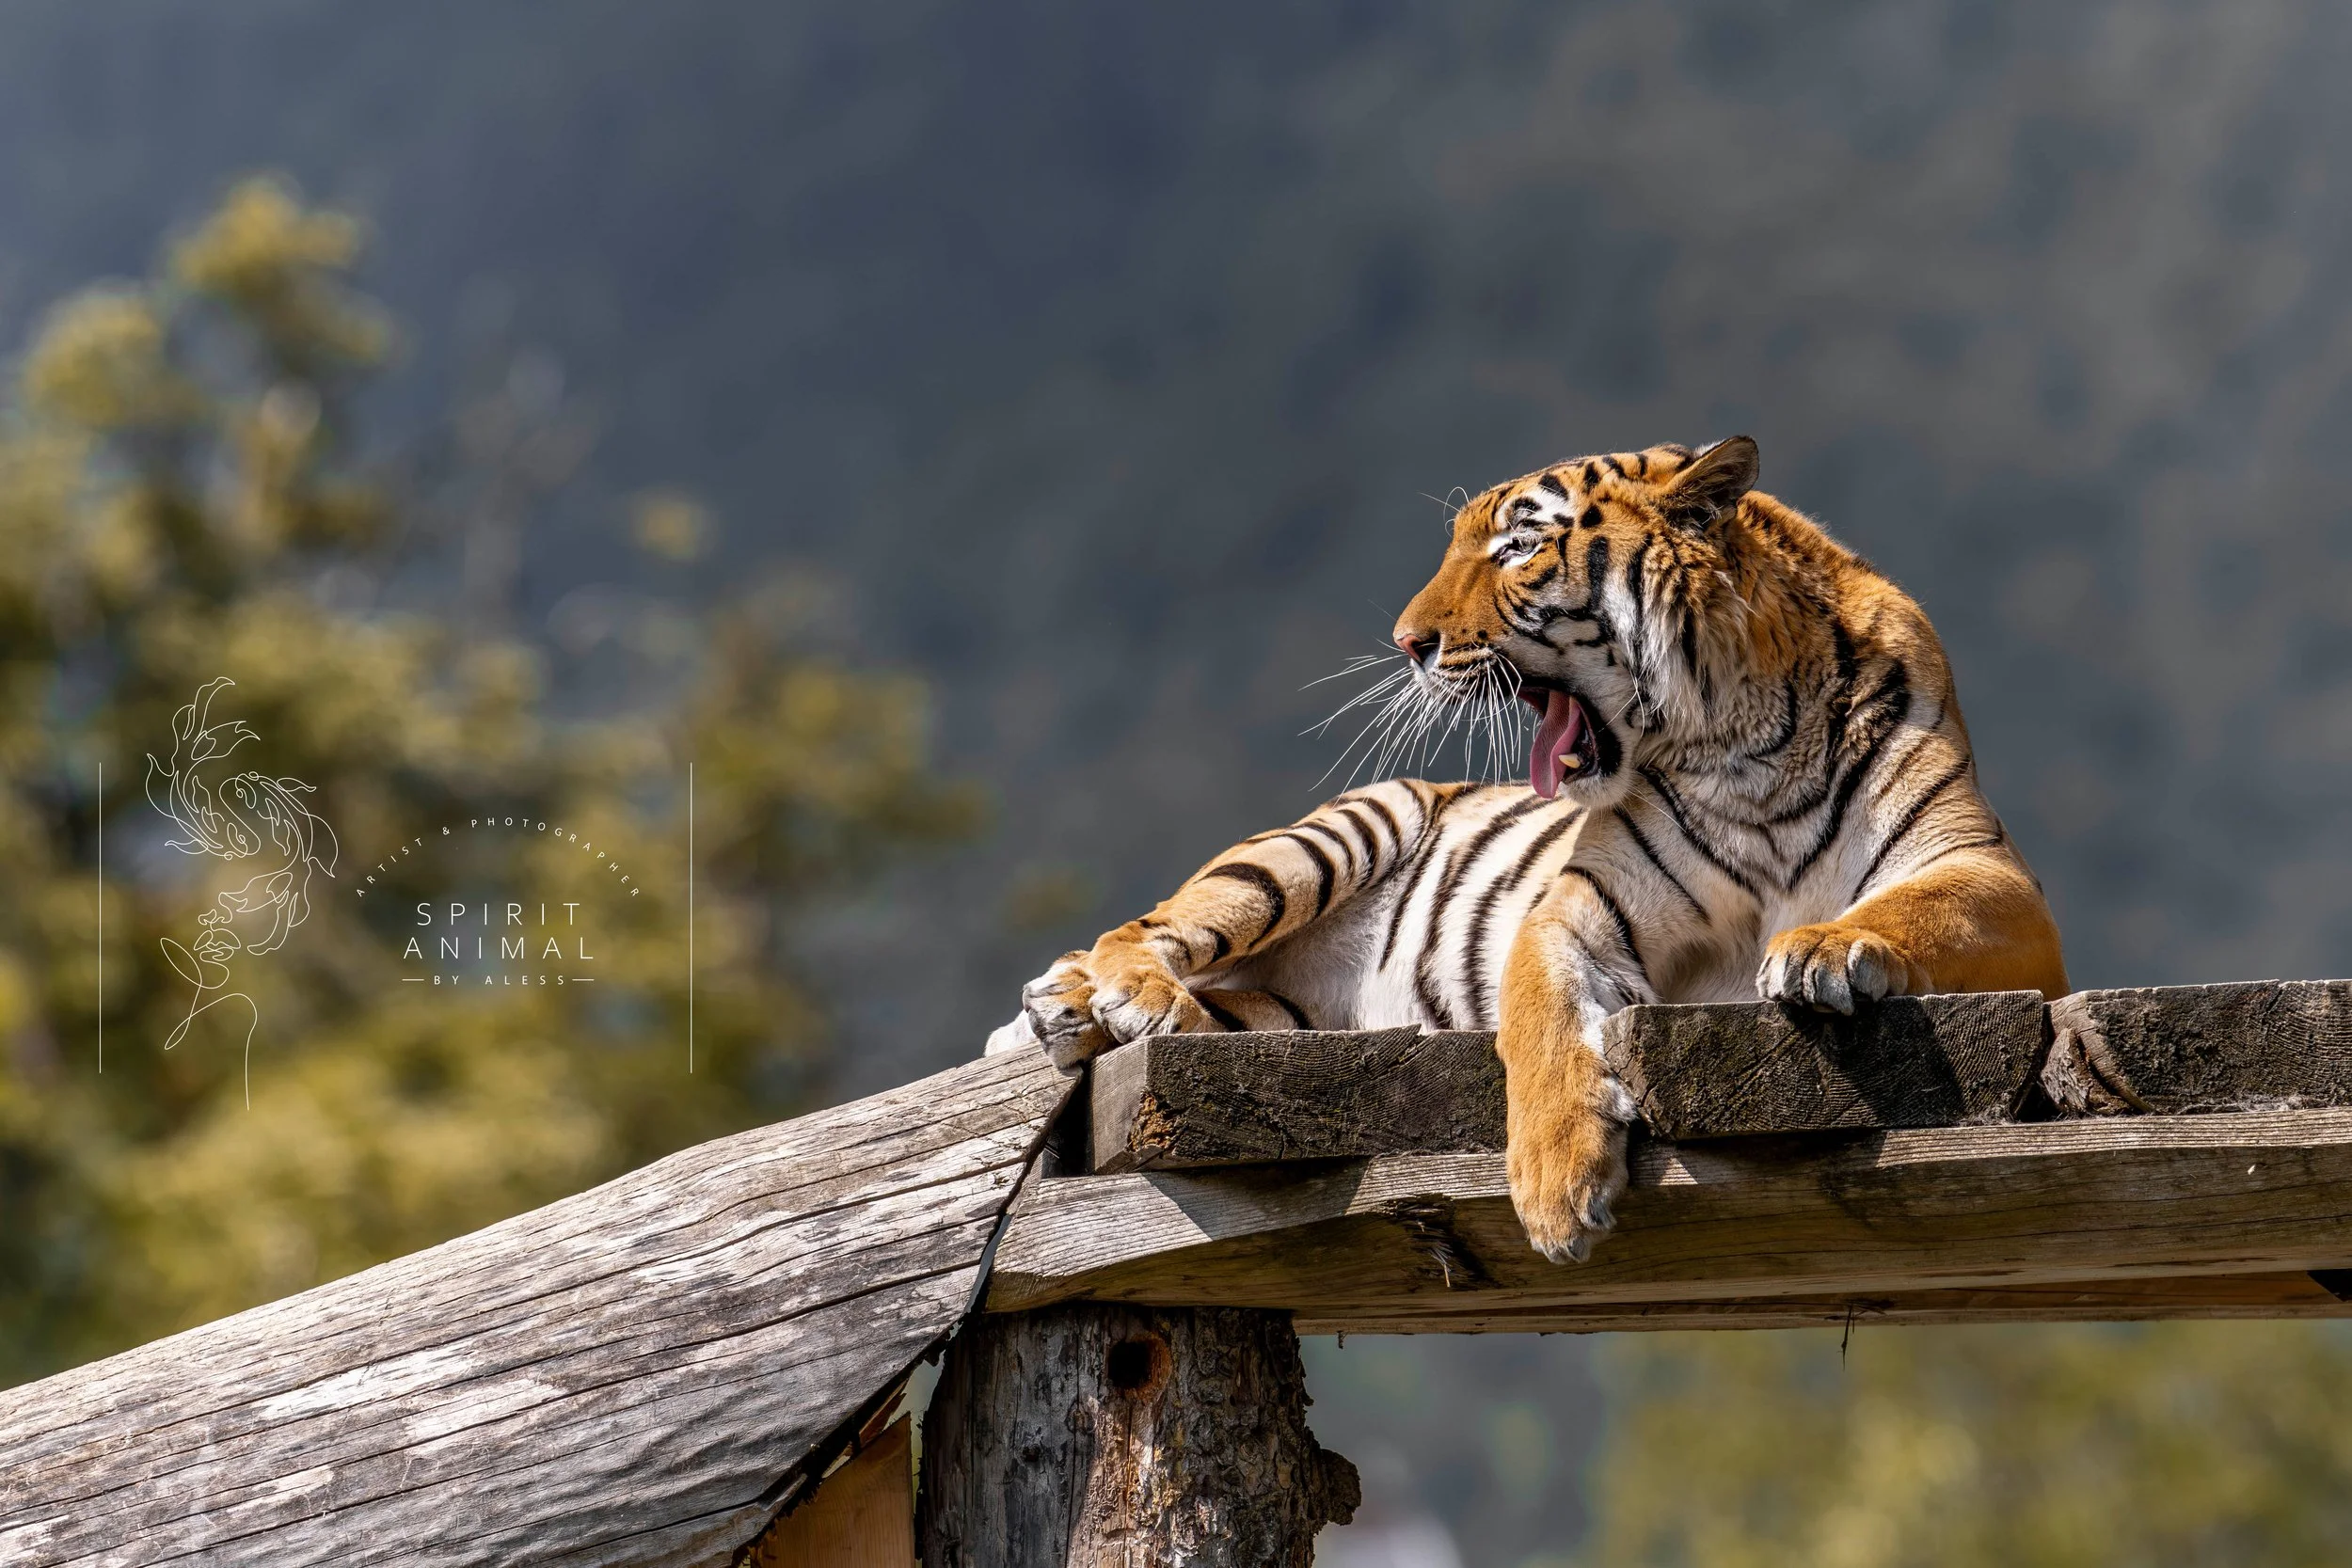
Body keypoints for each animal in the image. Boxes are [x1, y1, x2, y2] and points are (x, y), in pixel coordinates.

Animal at [990, 435, 2067, 1264]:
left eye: (1516, 547)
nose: (1406, 641)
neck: (1741, 740)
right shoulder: (1574, 907)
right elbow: (1542, 1017)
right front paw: (1555, 1193)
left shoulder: (1988, 876)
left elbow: (1906, 905)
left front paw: (1820, 947)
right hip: (1333, 833)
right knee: (1138, 930)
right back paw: (1105, 998)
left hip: (1280, 1008)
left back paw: (1082, 1015)